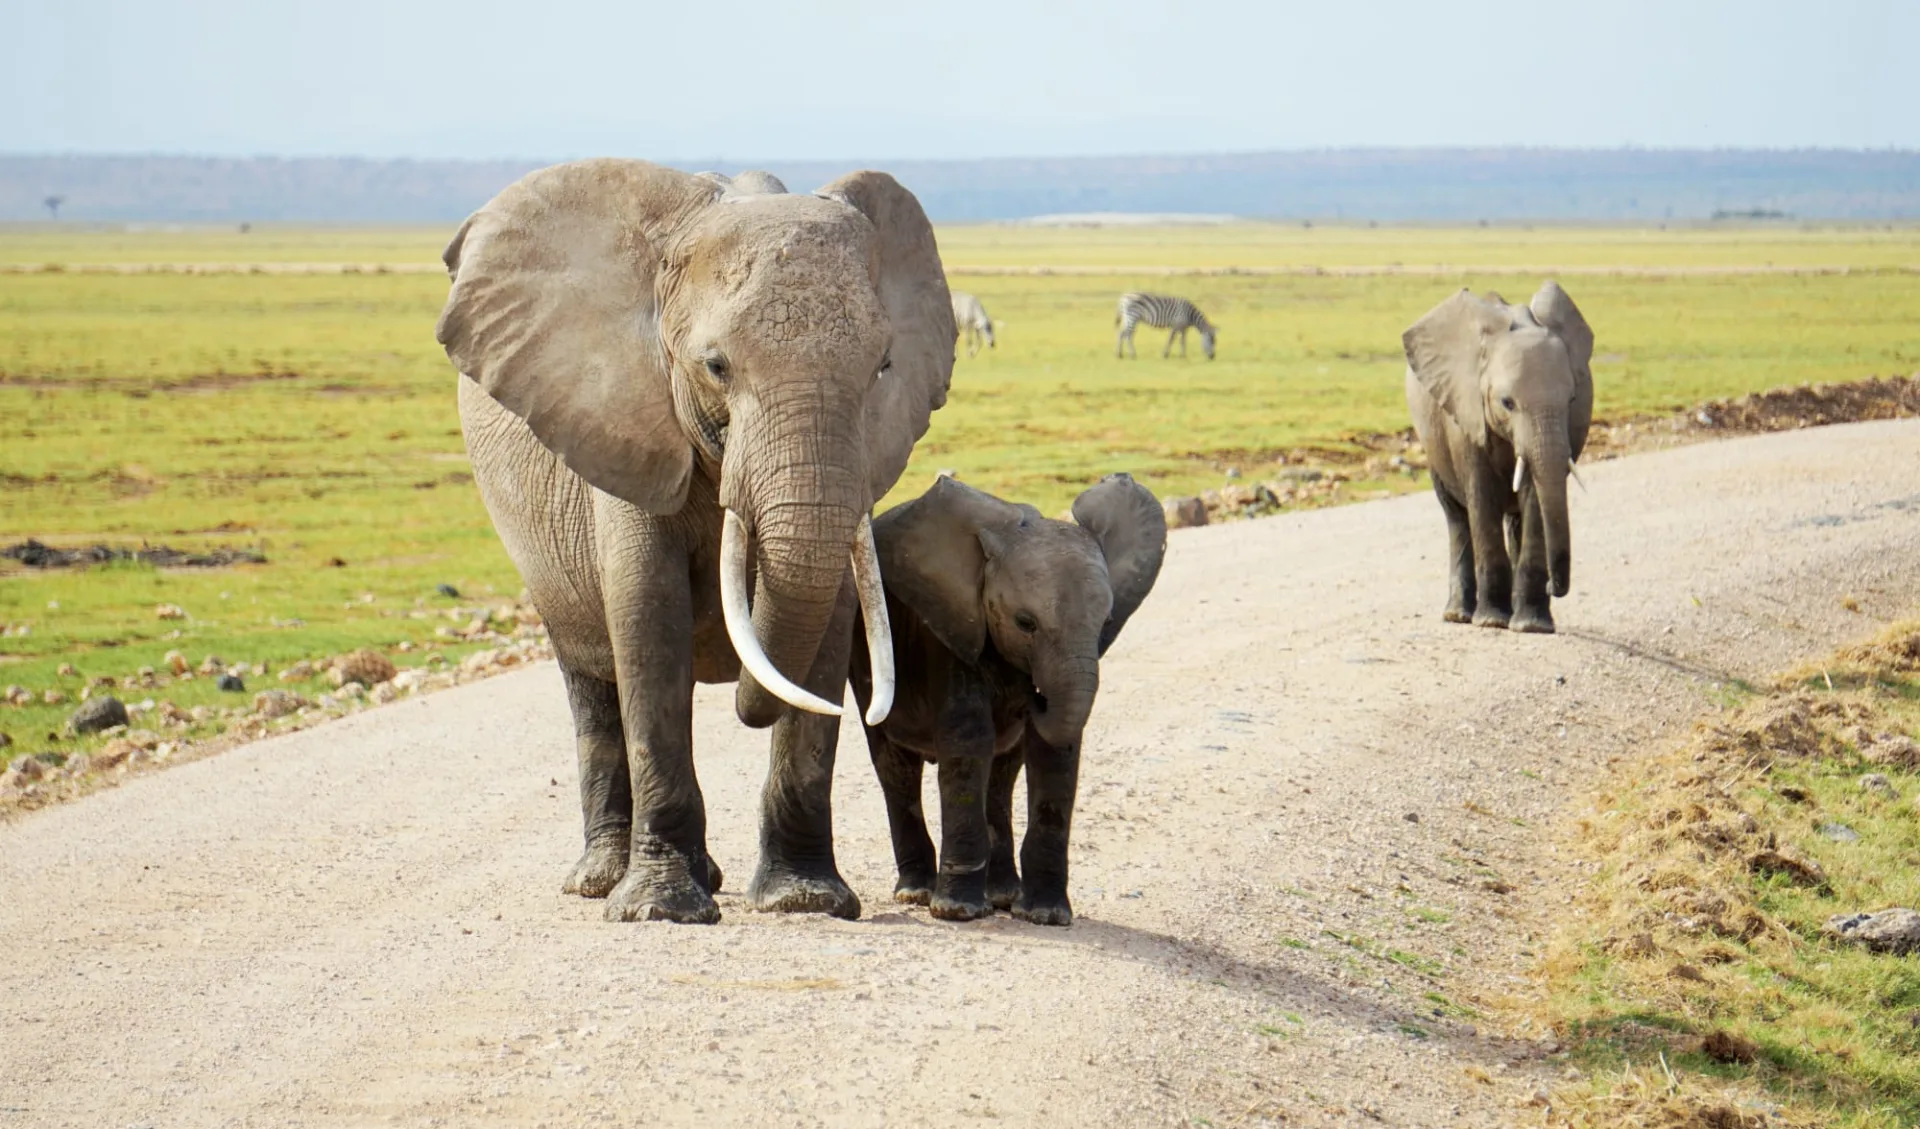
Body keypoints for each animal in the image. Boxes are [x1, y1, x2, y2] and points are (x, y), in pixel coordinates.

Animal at [439, 158, 956, 921]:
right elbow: (647, 621)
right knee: (593, 683)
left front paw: (803, 900)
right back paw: (601, 879)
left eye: (881, 368)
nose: (744, 692)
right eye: (716, 366)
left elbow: (829, 622)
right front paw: (659, 909)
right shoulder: (623, 421)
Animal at [856, 472, 1167, 921]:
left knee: (1003, 775)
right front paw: (956, 911)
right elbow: (970, 741)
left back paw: (1001, 896)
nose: (1033, 698)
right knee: (896, 768)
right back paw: (917, 893)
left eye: (1106, 621)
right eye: (1025, 623)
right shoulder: (950, 628)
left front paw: (1047, 916)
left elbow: (1056, 752)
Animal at [1405, 282, 1597, 633]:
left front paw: (1531, 626)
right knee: (1457, 517)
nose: (1554, 585)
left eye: (1572, 399)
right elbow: (1481, 497)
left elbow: (1535, 500)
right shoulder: (1465, 414)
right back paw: (1459, 616)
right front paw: (1492, 622)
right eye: (1507, 403)